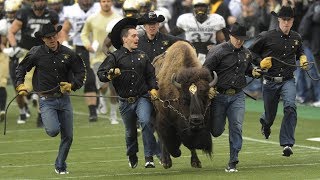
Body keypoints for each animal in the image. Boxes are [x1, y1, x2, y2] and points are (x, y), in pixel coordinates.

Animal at [152, 40, 218, 169]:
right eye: (184, 99)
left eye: (205, 98)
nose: (196, 121)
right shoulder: (164, 119)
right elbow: (167, 139)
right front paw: (173, 155)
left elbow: (192, 143)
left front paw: (196, 162)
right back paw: (166, 161)